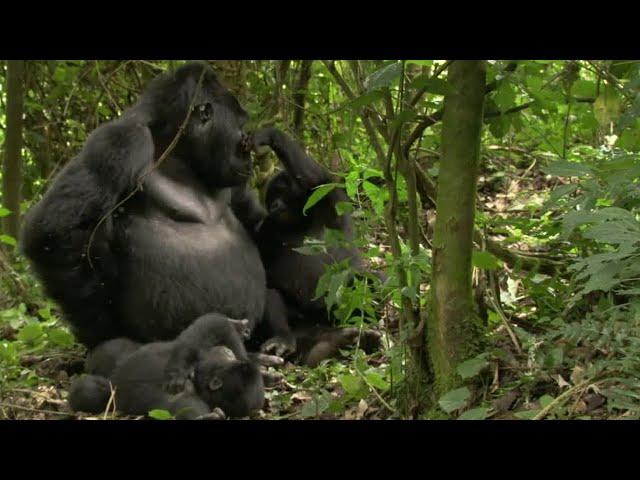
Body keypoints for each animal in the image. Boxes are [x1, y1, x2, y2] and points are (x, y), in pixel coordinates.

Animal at [21, 63, 268, 348]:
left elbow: (257, 220)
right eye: (241, 125)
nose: (248, 151)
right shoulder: (120, 140)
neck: (176, 147)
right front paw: (105, 329)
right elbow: (54, 230)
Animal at [69, 314, 276, 418]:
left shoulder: (186, 397)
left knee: (88, 392)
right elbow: (212, 326)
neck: (196, 378)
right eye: (228, 355)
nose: (226, 352)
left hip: (109, 389)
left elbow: (178, 407)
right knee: (117, 348)